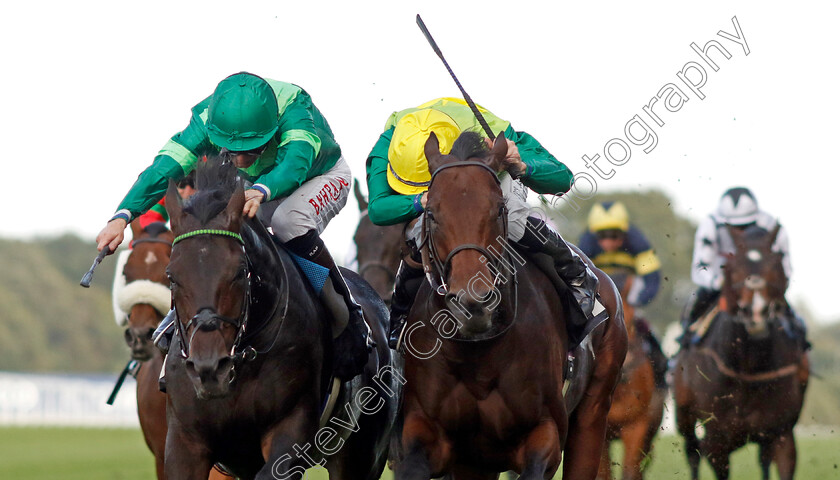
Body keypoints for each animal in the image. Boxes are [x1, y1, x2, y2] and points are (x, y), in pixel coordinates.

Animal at [165, 156, 400, 478]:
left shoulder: (291, 429)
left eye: (240, 271)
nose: (209, 367)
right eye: (172, 277)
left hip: (362, 454)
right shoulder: (185, 443)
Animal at [394, 131, 624, 480]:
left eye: (498, 208)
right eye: (431, 213)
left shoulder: (544, 434)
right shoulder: (426, 431)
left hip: (593, 412)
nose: (473, 303)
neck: (477, 353)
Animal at [672, 225, 812, 480]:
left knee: (763, 460)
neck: (749, 368)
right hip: (684, 417)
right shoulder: (717, 439)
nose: (755, 311)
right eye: (733, 266)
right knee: (692, 454)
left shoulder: (781, 433)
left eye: (775, 264)